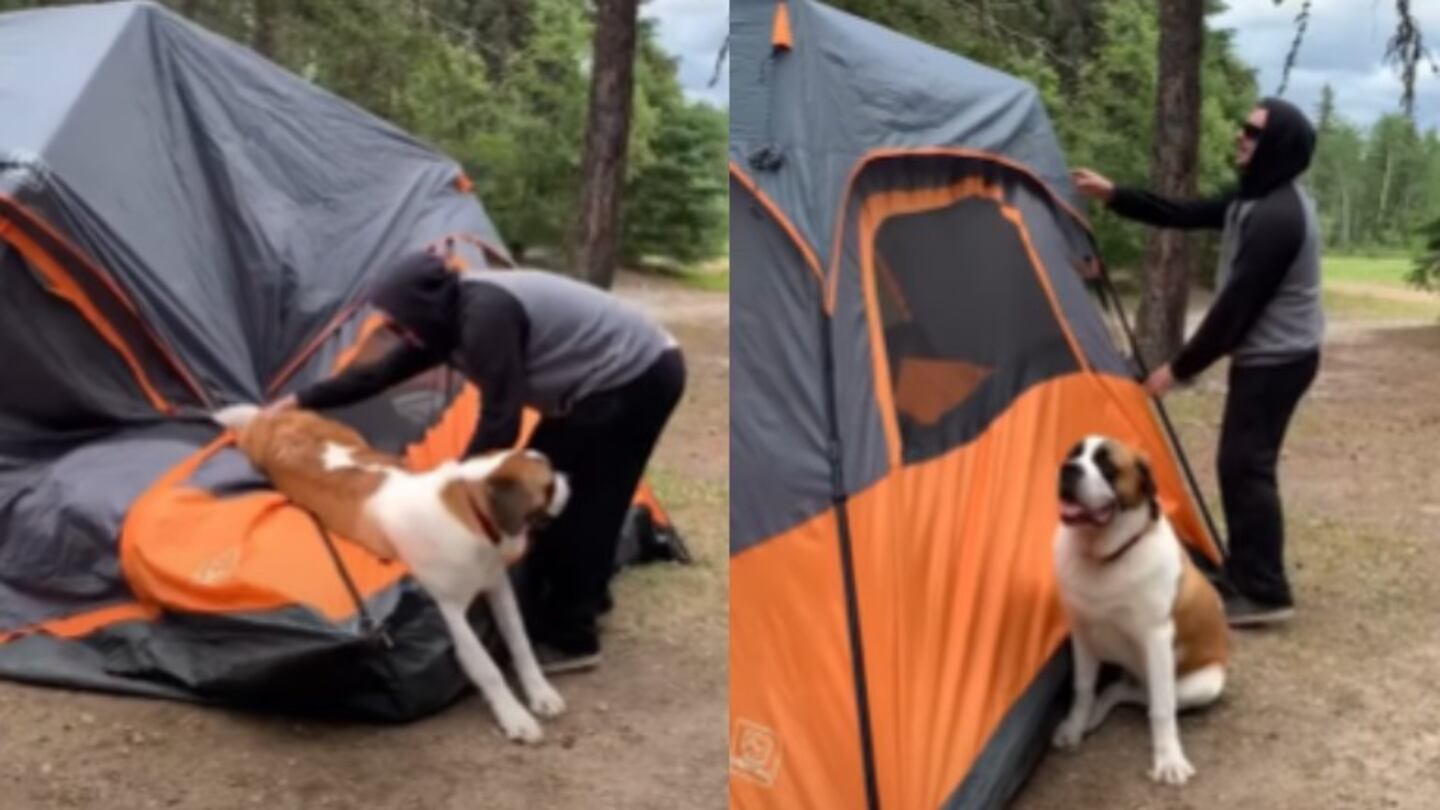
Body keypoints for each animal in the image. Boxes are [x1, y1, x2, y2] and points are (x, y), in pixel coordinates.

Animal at [214, 403, 573, 743]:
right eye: (549, 485)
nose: (568, 478)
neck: (467, 504)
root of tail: (277, 419)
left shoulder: (497, 585)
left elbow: (520, 641)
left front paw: (540, 693)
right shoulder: (451, 611)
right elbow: (486, 667)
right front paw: (515, 717)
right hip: (254, 444)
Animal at [1048, 435, 1226, 784]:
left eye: (1106, 465)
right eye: (1073, 454)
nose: (1068, 469)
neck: (1102, 556)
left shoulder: (1156, 638)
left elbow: (1162, 709)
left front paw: (1169, 760)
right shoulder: (1082, 632)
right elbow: (1083, 688)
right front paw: (1075, 726)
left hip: (1205, 683)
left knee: (1149, 697)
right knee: (1122, 689)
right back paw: (1093, 716)